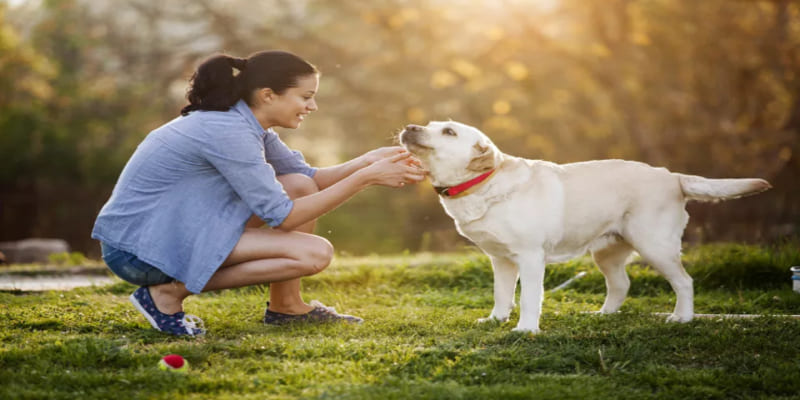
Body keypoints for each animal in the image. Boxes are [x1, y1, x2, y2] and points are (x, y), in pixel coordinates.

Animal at [400, 122, 768, 334]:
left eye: (448, 132)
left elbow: (530, 297)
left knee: (685, 282)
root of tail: (672, 175)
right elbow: (501, 294)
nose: (410, 125)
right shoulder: (501, 260)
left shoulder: (530, 257)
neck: (481, 183)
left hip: (655, 245)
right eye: (431, 124)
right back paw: (602, 315)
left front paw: (525, 329)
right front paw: (495, 320)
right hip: (607, 253)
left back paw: (682, 318)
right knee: (621, 284)